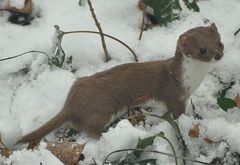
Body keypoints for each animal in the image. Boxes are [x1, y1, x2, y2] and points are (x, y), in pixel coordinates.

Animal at [16, 23, 223, 144]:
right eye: (202, 49)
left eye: (219, 43)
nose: (219, 55)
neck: (194, 79)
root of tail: (70, 102)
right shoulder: (175, 95)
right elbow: (178, 113)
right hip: (103, 108)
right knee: (90, 128)